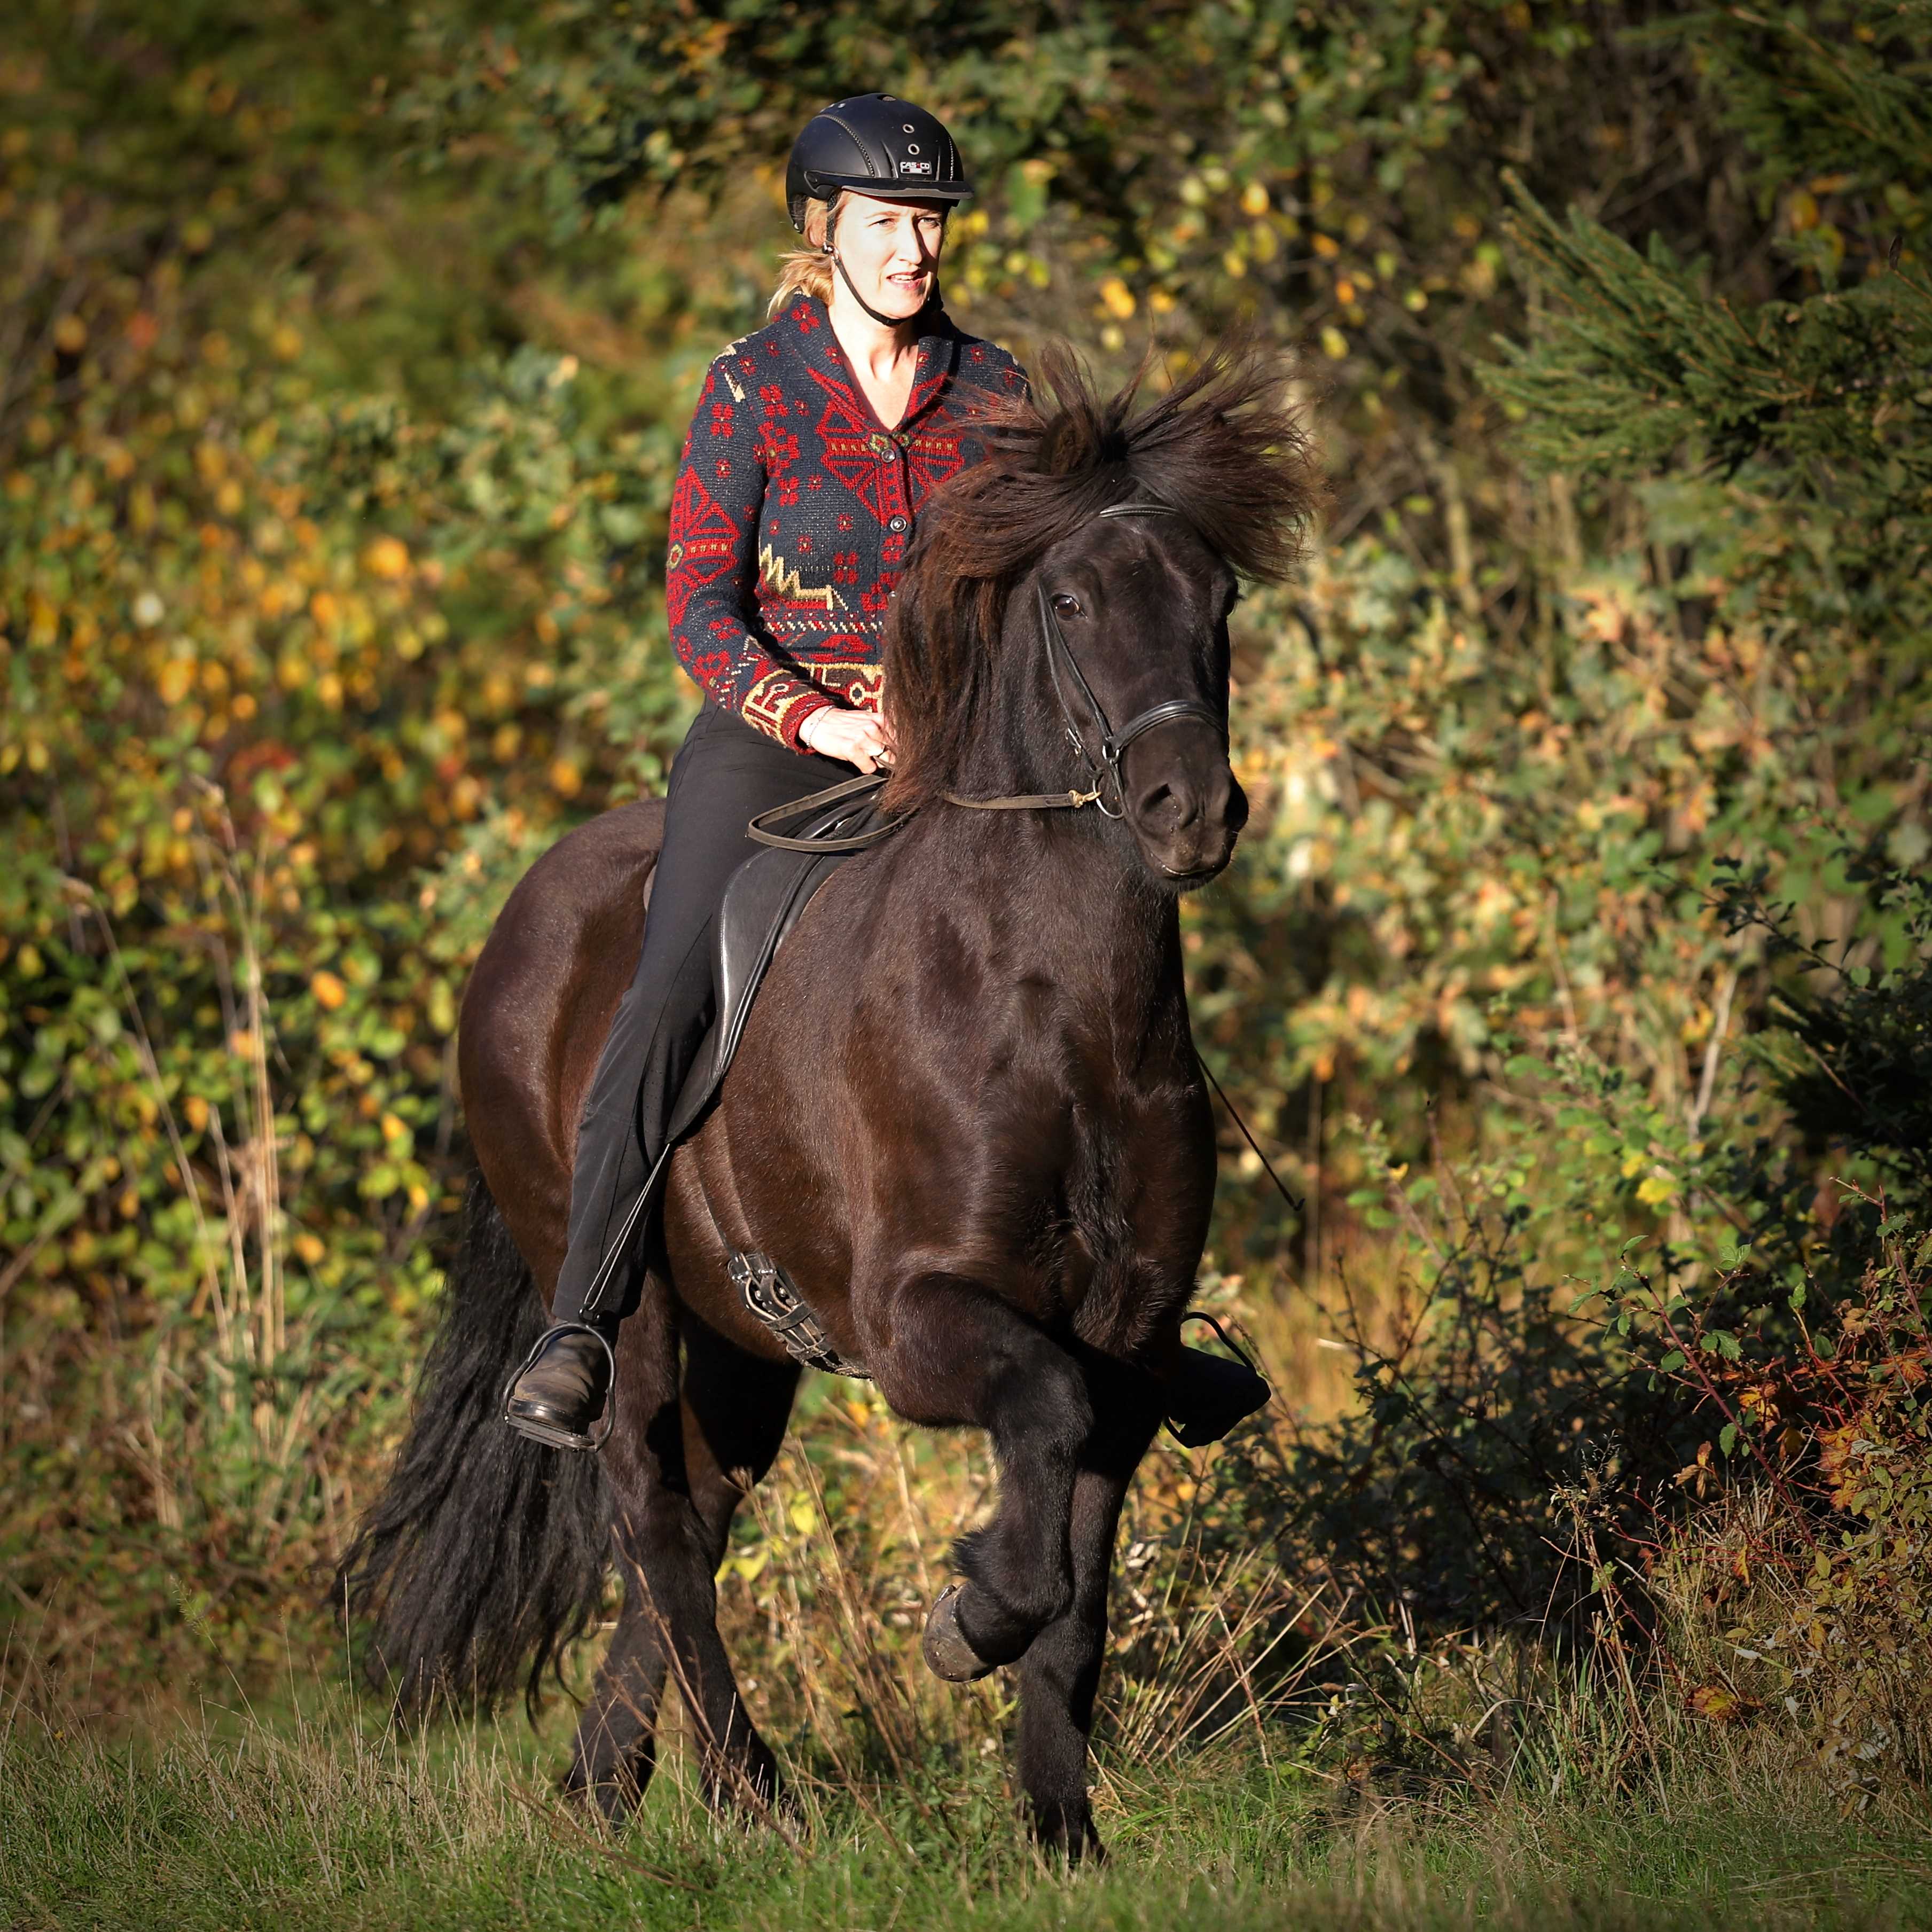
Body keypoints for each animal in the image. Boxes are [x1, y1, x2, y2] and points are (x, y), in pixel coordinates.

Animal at [340, 348, 1321, 1855]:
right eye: (1072, 600)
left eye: (1217, 601)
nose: (1187, 811)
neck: (1057, 1014)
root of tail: (521, 919)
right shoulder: (922, 1319)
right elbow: (1038, 1444)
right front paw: (966, 1615)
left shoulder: (1130, 1348)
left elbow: (1082, 1595)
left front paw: (1061, 1832)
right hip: (627, 1309)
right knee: (649, 1513)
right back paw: (752, 1793)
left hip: (740, 1339)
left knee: (699, 1515)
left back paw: (605, 1790)